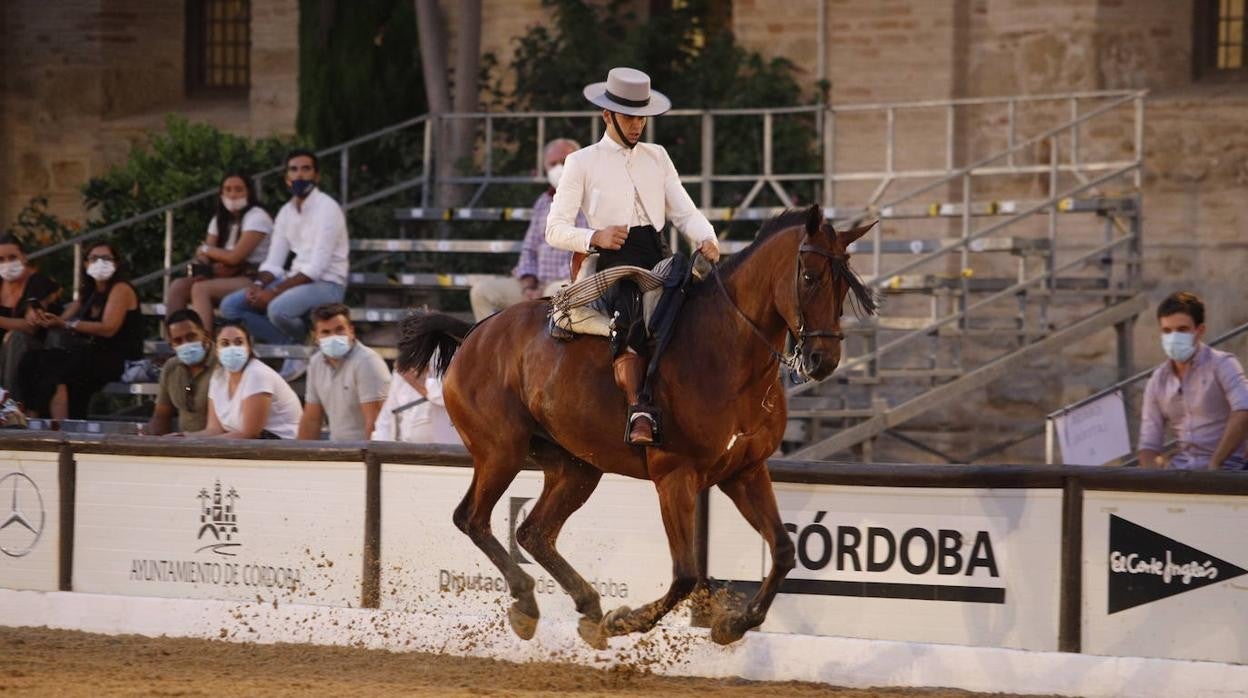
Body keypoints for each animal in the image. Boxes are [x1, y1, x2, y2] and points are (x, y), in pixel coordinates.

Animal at [401, 203, 878, 649]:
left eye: (844, 285)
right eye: (810, 277)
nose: (823, 360)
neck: (726, 351)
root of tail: (474, 333)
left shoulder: (746, 471)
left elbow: (782, 551)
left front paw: (733, 625)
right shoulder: (675, 477)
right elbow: (685, 574)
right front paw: (627, 621)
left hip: (576, 468)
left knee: (533, 532)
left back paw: (587, 607)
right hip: (500, 453)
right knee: (473, 519)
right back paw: (530, 604)